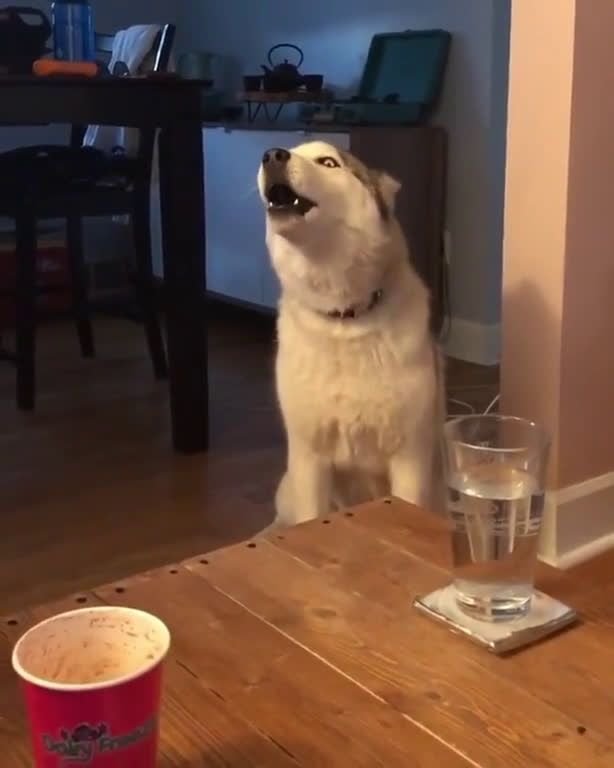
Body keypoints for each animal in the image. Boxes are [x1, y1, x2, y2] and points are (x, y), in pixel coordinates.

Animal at [258, 141, 444, 526]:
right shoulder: (309, 458)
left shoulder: (410, 457)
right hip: (289, 486)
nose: (271, 154)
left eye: (328, 162)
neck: (344, 319)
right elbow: (308, 518)